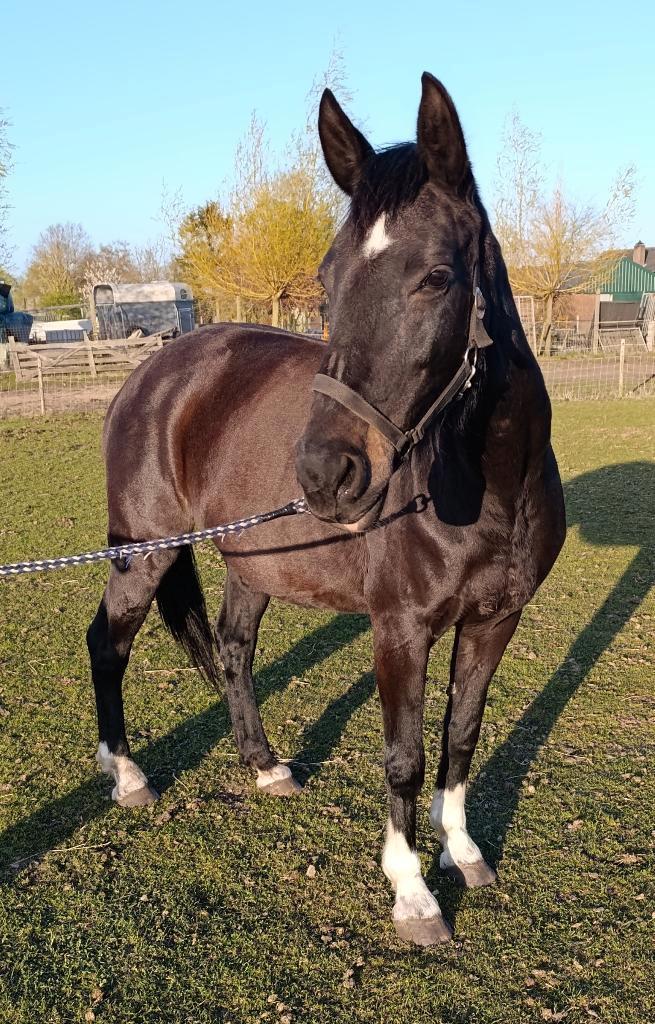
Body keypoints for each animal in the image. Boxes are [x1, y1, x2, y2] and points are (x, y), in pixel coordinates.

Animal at [86, 73, 566, 946]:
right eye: (326, 277)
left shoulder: (494, 620)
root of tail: (153, 372)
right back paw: (129, 774)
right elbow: (404, 755)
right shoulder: (399, 628)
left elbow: (461, 735)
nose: (325, 473)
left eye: (436, 276)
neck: (488, 485)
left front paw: (463, 853)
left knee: (233, 649)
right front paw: (411, 892)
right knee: (109, 643)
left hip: (251, 563)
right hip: (145, 550)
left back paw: (265, 765)